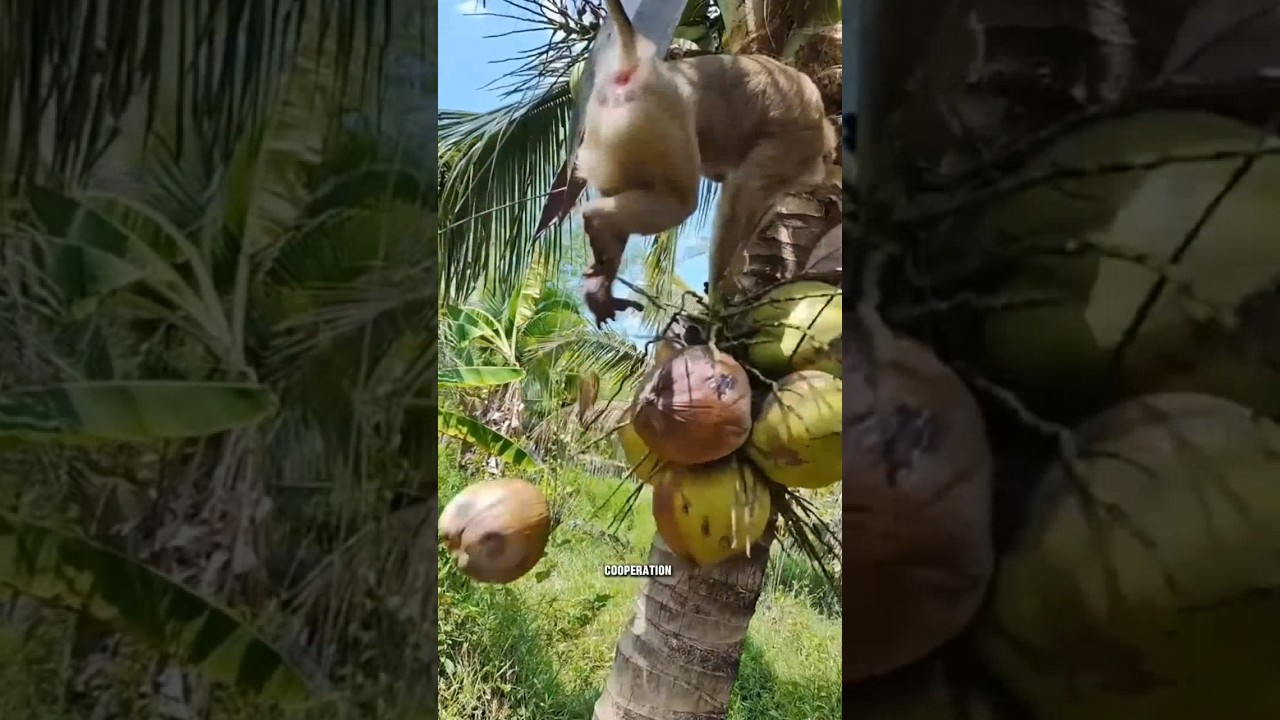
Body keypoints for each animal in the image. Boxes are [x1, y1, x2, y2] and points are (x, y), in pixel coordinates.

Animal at [575, 0, 835, 323]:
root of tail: (639, 64)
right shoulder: (797, 144)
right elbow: (742, 191)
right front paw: (719, 299)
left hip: (611, 128)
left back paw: (600, 280)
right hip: (657, 117)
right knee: (681, 203)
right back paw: (597, 222)